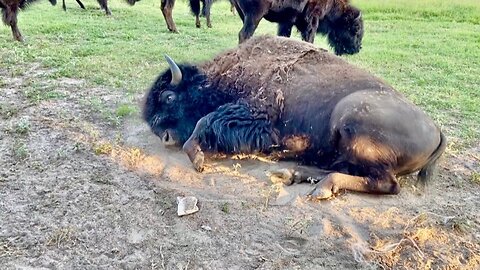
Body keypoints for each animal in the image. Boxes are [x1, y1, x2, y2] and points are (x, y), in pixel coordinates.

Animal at [142, 35, 446, 199]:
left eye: (168, 97)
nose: (165, 137)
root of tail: (437, 131)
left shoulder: (255, 114)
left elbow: (203, 122)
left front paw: (198, 158)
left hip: (350, 119)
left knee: (385, 183)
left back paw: (323, 187)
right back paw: (293, 173)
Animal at [231, 0, 362, 55]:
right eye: (355, 28)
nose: (358, 48)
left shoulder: (286, 21)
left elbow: (284, 36)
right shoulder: (312, 19)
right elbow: (309, 37)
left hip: (244, 15)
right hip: (255, 15)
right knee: (244, 34)